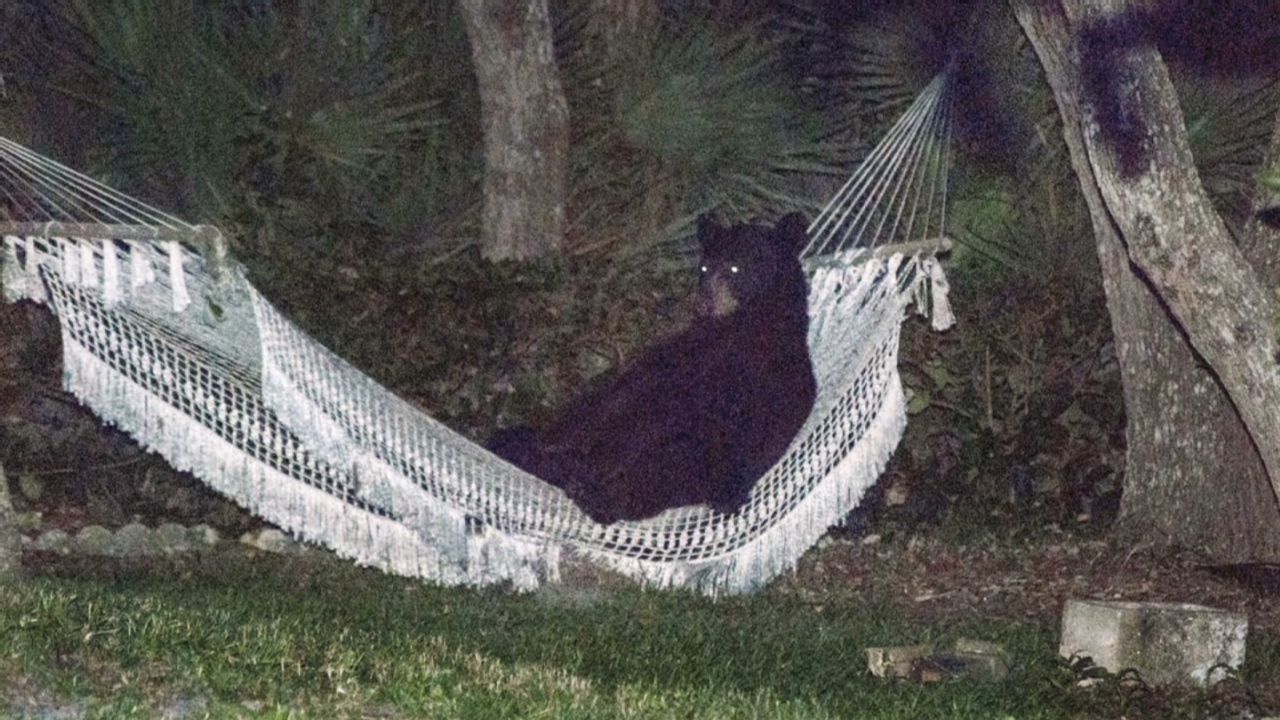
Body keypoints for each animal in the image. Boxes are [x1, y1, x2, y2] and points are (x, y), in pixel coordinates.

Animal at [489, 212, 817, 524]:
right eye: (704, 268)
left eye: (736, 268)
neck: (745, 324)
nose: (703, 304)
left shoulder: (749, 376)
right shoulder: (679, 358)